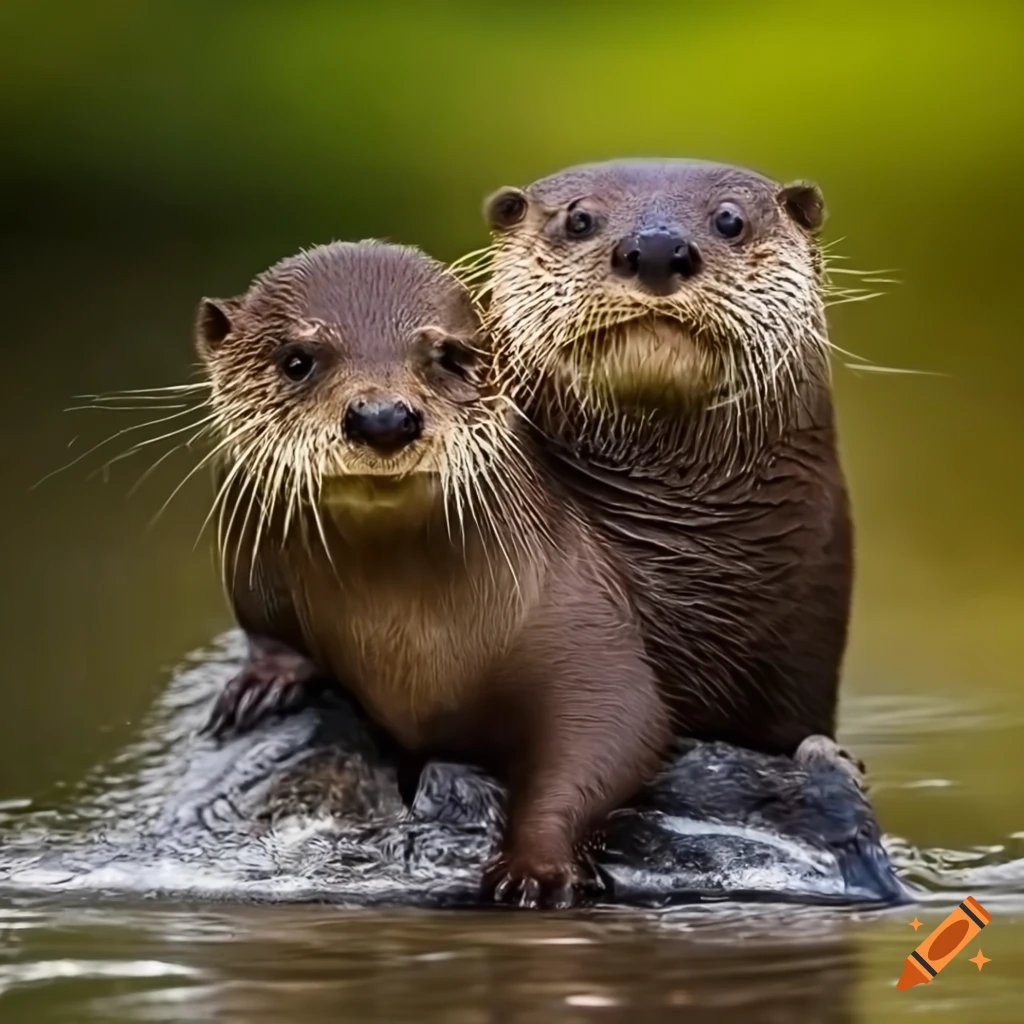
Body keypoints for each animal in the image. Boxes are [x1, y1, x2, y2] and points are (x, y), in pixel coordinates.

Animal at [193, 241, 670, 907]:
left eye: (446, 356)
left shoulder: (584, 623)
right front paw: (260, 684)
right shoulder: (255, 569)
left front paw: (537, 867)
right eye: (297, 360)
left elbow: (611, 731)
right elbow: (270, 630)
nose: (382, 416)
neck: (405, 646)